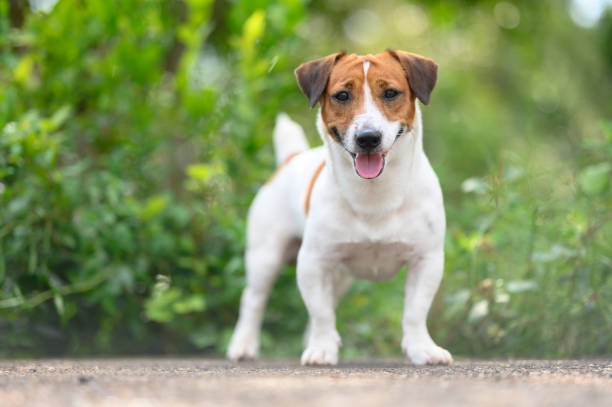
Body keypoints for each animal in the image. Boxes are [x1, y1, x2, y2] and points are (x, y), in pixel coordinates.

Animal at [227, 50, 452, 366]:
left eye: (391, 93)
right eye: (342, 95)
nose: (367, 138)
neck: (374, 194)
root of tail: (291, 157)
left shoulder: (426, 259)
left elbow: (415, 311)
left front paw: (422, 348)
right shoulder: (313, 261)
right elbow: (321, 313)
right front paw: (322, 348)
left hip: (340, 276)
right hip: (265, 257)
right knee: (254, 300)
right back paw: (244, 344)